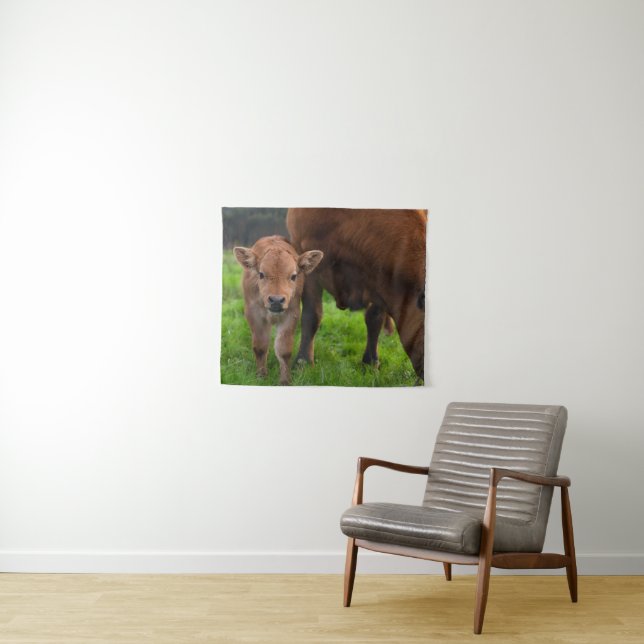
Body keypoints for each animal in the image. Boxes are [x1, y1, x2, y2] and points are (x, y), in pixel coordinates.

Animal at [233, 235, 323, 385]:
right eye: (261, 274)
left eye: (293, 276)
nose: (276, 300)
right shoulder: (254, 314)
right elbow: (260, 347)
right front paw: (261, 376)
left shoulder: (291, 314)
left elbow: (284, 350)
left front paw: (285, 381)